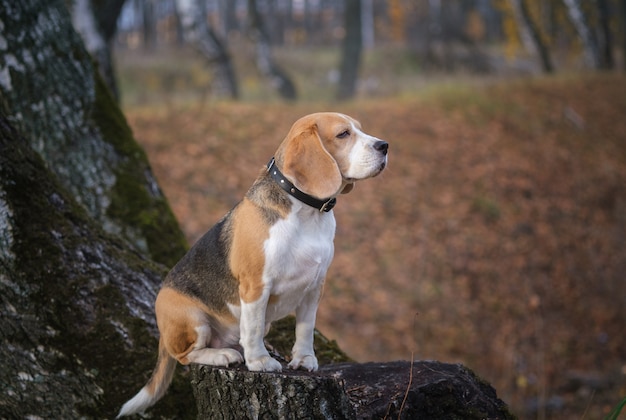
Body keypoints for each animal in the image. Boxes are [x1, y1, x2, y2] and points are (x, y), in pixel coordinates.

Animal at [118, 111, 386, 416]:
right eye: (343, 134)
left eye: (360, 129)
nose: (384, 146)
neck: (307, 213)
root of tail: (163, 334)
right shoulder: (256, 284)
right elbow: (254, 326)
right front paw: (259, 362)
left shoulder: (314, 286)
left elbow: (305, 328)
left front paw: (304, 359)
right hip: (192, 319)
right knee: (186, 356)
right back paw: (223, 355)